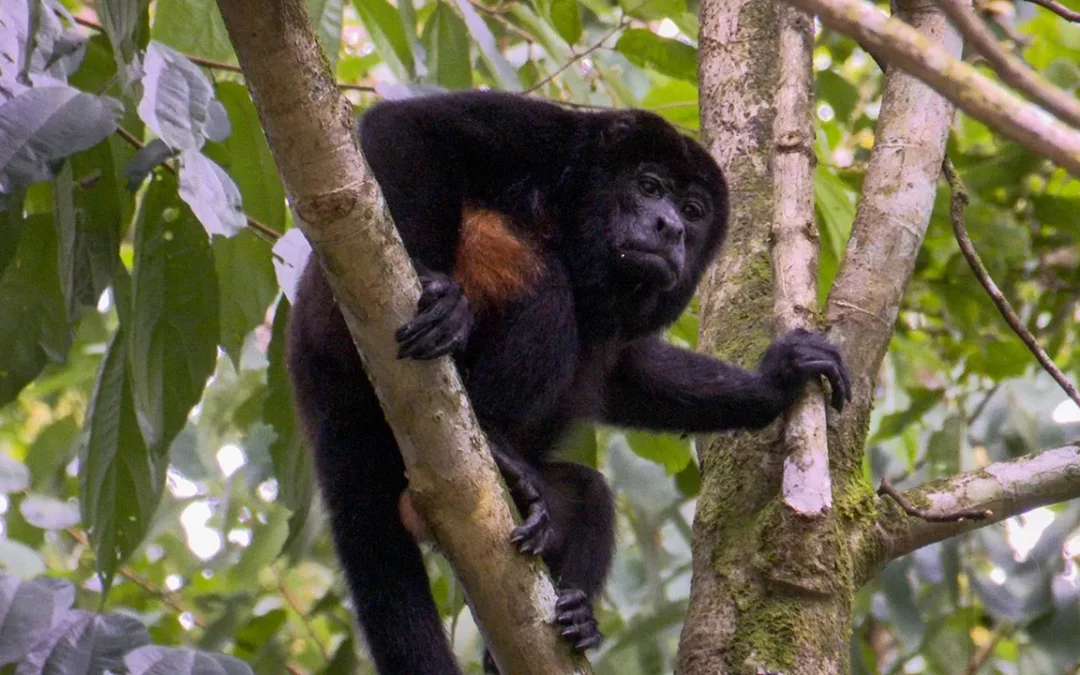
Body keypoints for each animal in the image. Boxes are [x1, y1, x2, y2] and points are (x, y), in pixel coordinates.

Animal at [287, 89, 851, 673]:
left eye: (693, 212)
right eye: (650, 187)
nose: (670, 227)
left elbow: (626, 372)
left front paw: (778, 379)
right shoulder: (552, 138)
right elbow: (406, 127)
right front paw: (432, 283)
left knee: (588, 494)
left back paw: (569, 611)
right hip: (346, 341)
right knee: (543, 282)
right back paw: (492, 438)